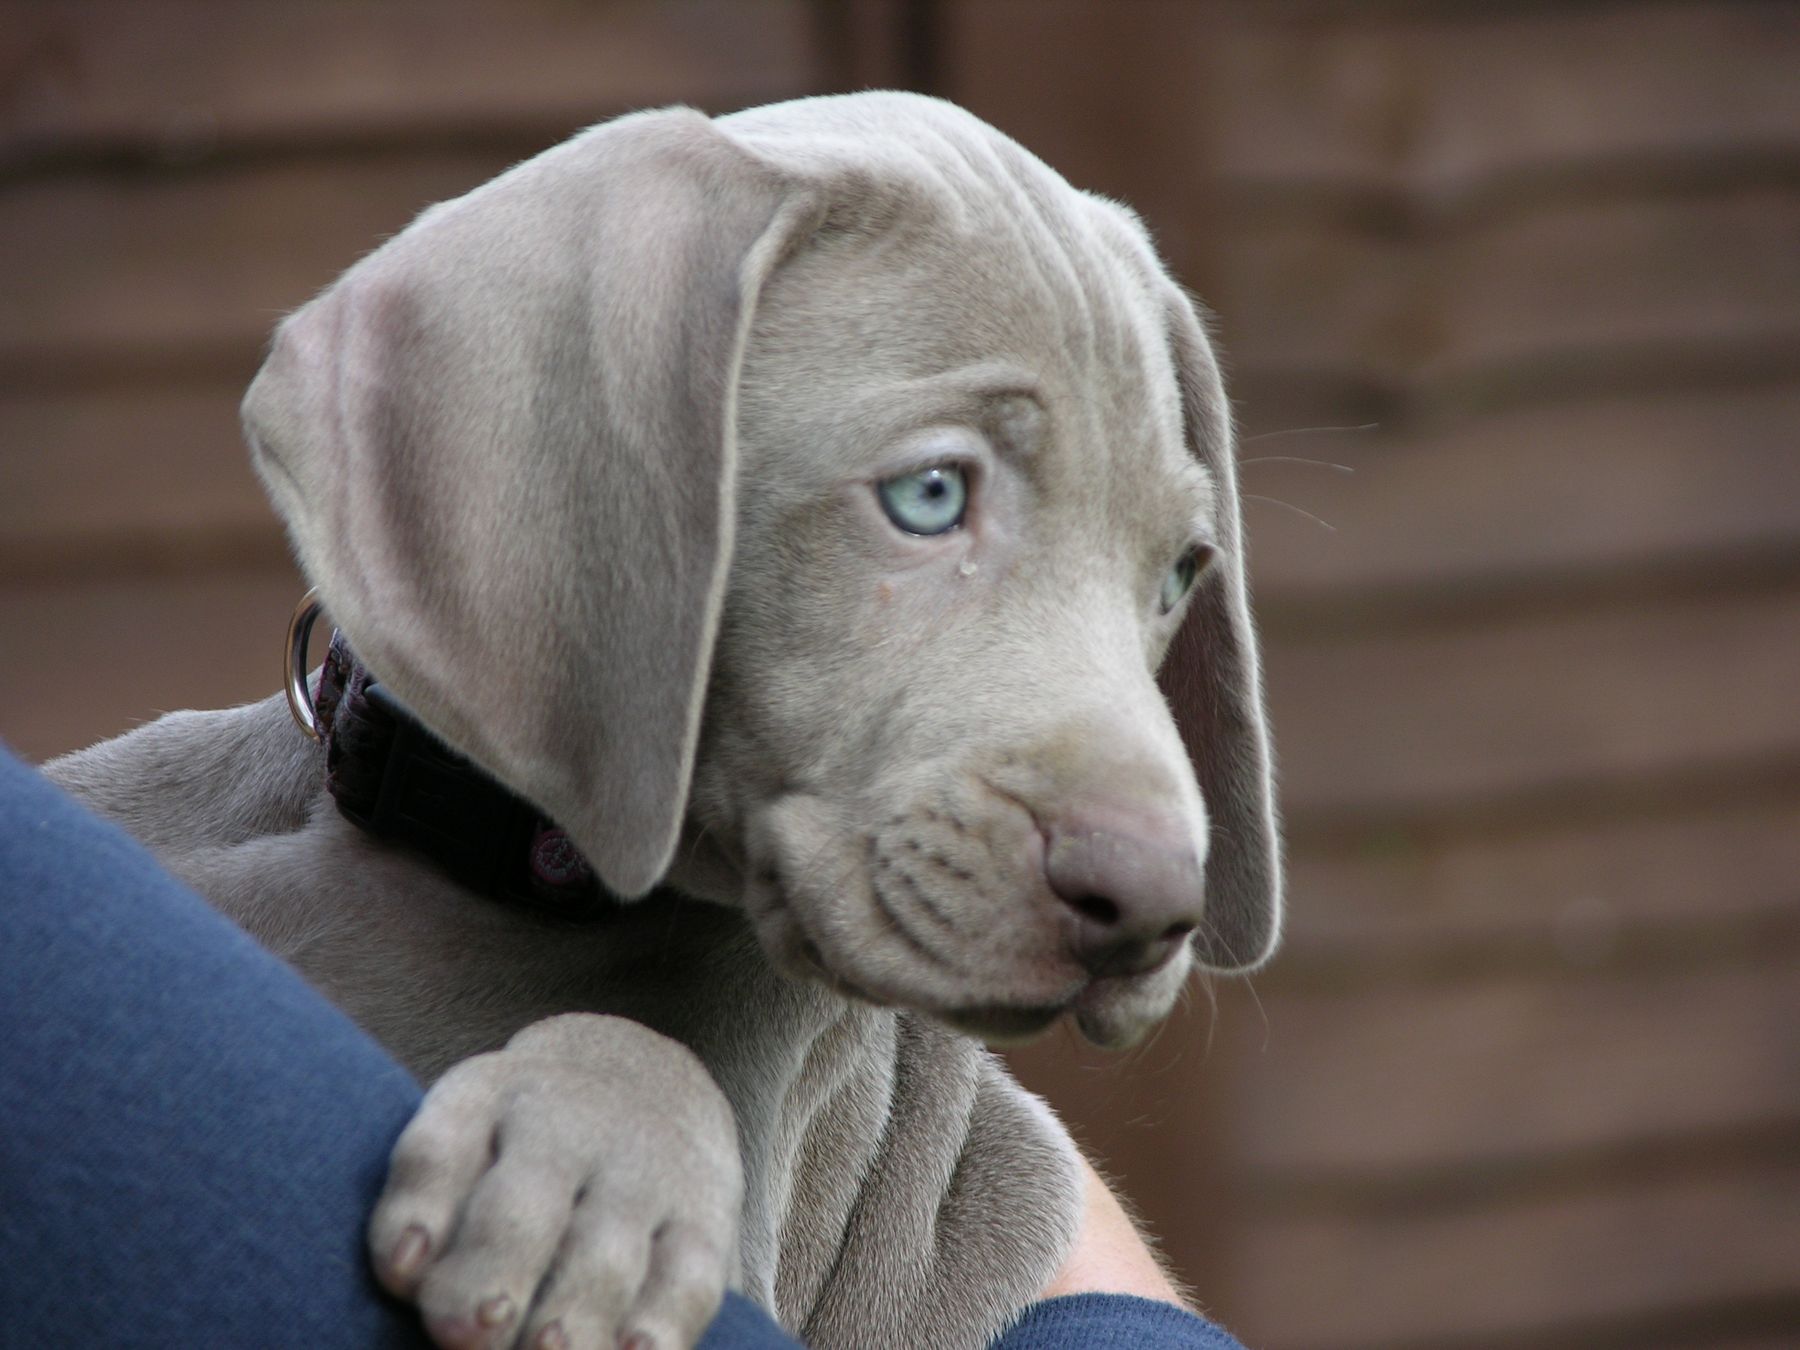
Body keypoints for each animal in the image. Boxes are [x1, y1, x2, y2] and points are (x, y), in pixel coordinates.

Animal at [45, 92, 1281, 1350]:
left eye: (1180, 575)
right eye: (929, 495)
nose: (1153, 907)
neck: (489, 864)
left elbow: (653, 1050)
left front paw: (591, 1175)